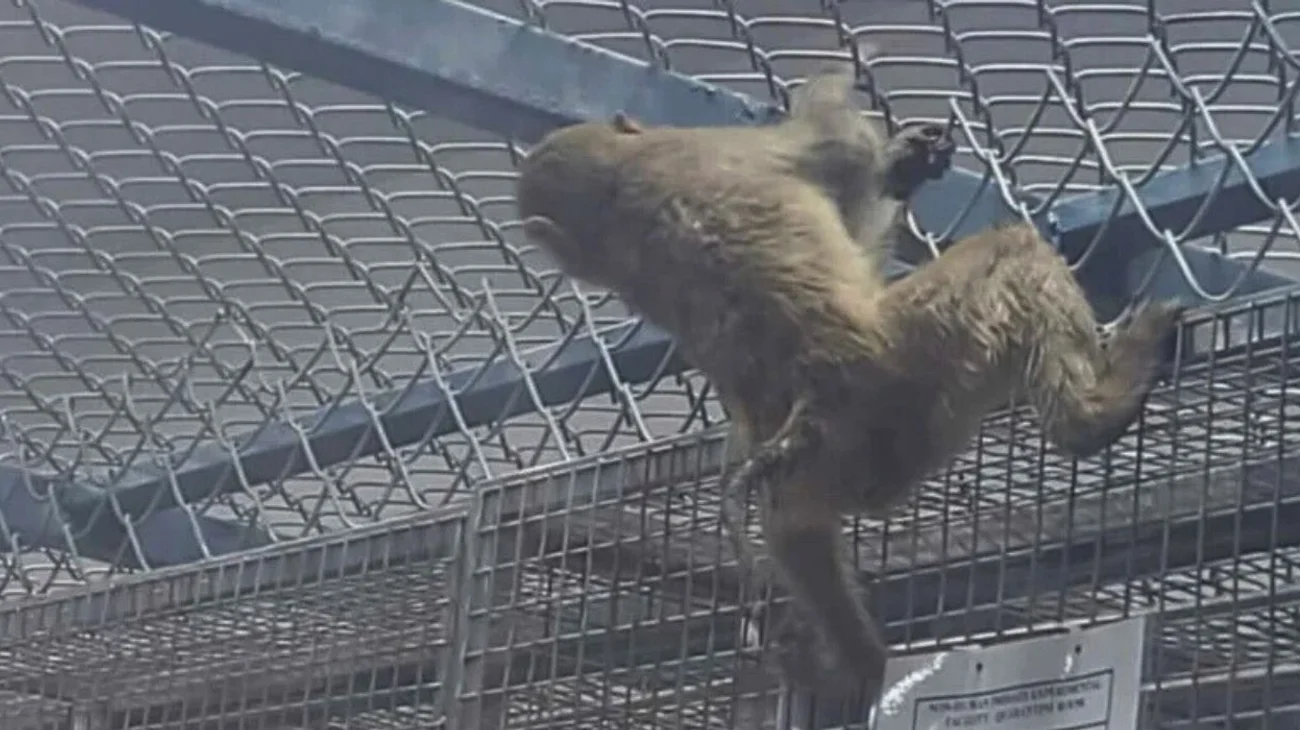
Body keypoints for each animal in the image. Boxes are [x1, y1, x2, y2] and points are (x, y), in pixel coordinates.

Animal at [514, 66, 1181, 703]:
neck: (615, 197)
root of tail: (817, 408)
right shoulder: (731, 145)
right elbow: (840, 151)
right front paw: (897, 159)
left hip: (851, 449)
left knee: (791, 526)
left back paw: (852, 662)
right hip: (917, 362)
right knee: (1009, 253)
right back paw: (1090, 414)